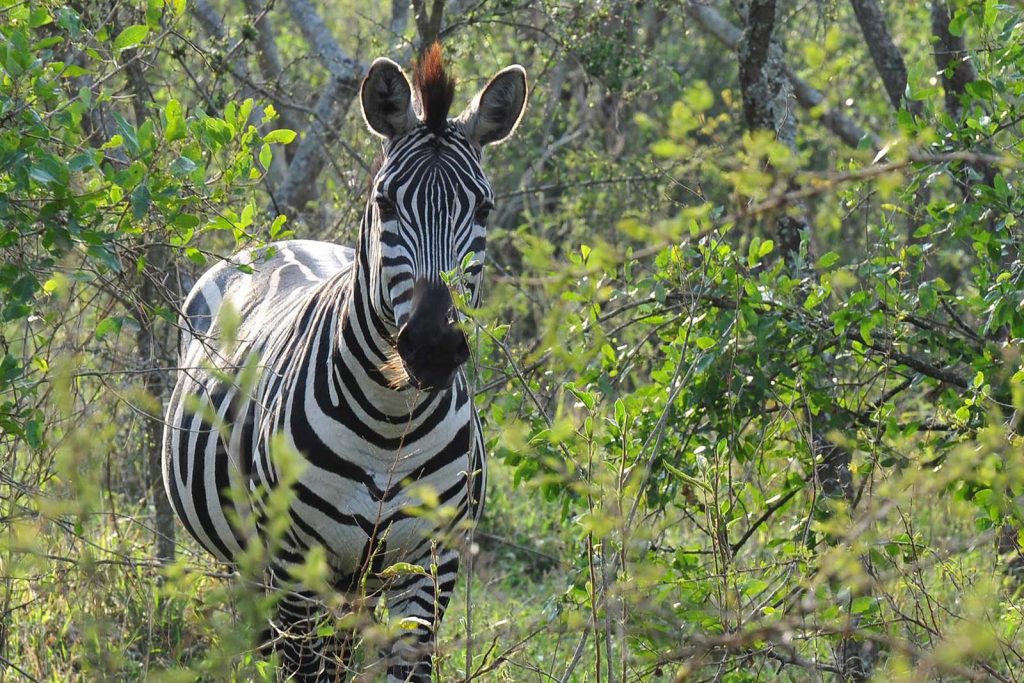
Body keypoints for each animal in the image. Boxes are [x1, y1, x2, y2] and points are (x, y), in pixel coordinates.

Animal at [161, 45, 528, 679]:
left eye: (483, 208)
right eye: (384, 203)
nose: (432, 347)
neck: (391, 422)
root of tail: (282, 242)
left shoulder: (428, 568)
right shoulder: (297, 565)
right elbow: (307, 668)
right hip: (259, 564)